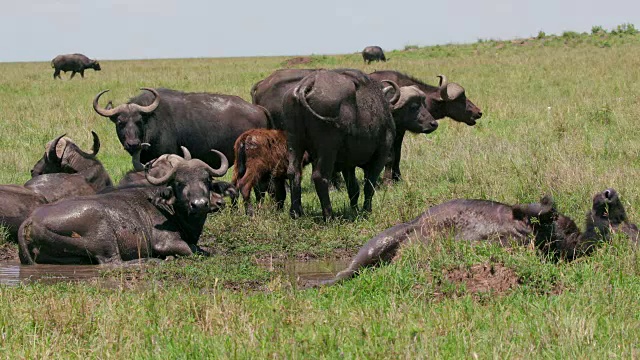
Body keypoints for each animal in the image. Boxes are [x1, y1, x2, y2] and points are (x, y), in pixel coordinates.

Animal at [18, 148, 230, 264]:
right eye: (179, 183)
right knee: (112, 262)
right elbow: (195, 249)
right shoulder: (166, 242)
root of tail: (30, 221)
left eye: (207, 179)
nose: (199, 204)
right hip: (103, 234)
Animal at [282, 68, 398, 219]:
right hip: (327, 148)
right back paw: (329, 216)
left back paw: (296, 212)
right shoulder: (380, 157)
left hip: (294, 142)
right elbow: (369, 186)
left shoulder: (348, 164)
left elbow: (353, 188)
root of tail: (306, 84)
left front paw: (354, 210)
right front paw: (367, 210)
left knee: (293, 172)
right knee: (319, 177)